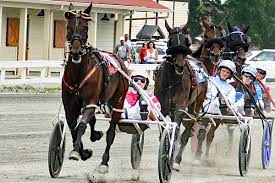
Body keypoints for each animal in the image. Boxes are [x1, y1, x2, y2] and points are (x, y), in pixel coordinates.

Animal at [63, 3, 130, 174]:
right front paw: (83, 152)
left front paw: (75, 152)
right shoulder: (70, 107)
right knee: (92, 122)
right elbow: (74, 129)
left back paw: (104, 163)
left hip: (118, 101)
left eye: (85, 27)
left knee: (111, 133)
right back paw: (95, 135)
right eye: (69, 26)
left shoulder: (90, 102)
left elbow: (81, 126)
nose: (75, 51)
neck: (78, 74)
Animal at [154, 20, 208, 169]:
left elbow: (177, 132)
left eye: (186, 41)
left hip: (195, 105)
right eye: (171, 41)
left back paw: (177, 160)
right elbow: (164, 131)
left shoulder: (180, 108)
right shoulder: (163, 108)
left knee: (187, 130)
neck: (172, 81)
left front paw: (171, 158)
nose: (179, 65)